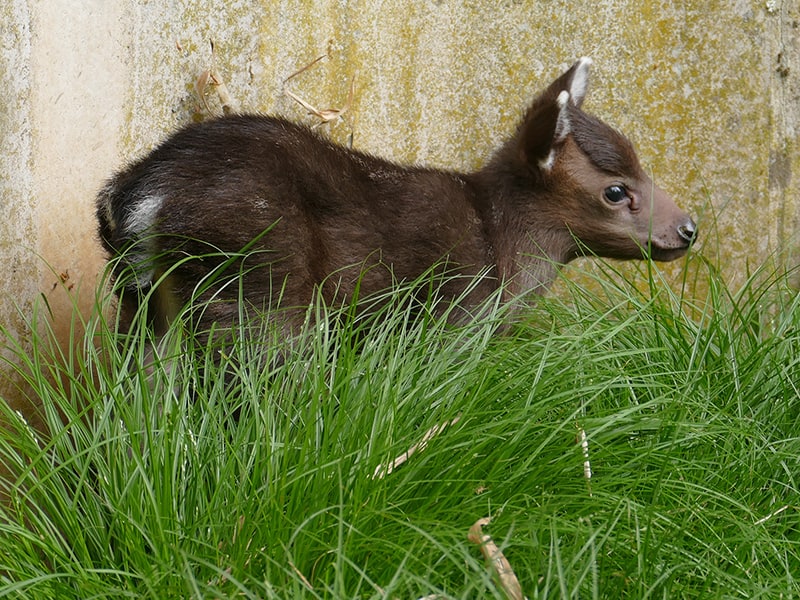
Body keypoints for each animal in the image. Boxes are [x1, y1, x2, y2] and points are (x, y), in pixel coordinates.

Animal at [98, 59, 692, 338]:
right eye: (616, 190)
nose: (688, 228)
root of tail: (142, 198)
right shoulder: (455, 315)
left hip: (144, 303)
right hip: (259, 279)